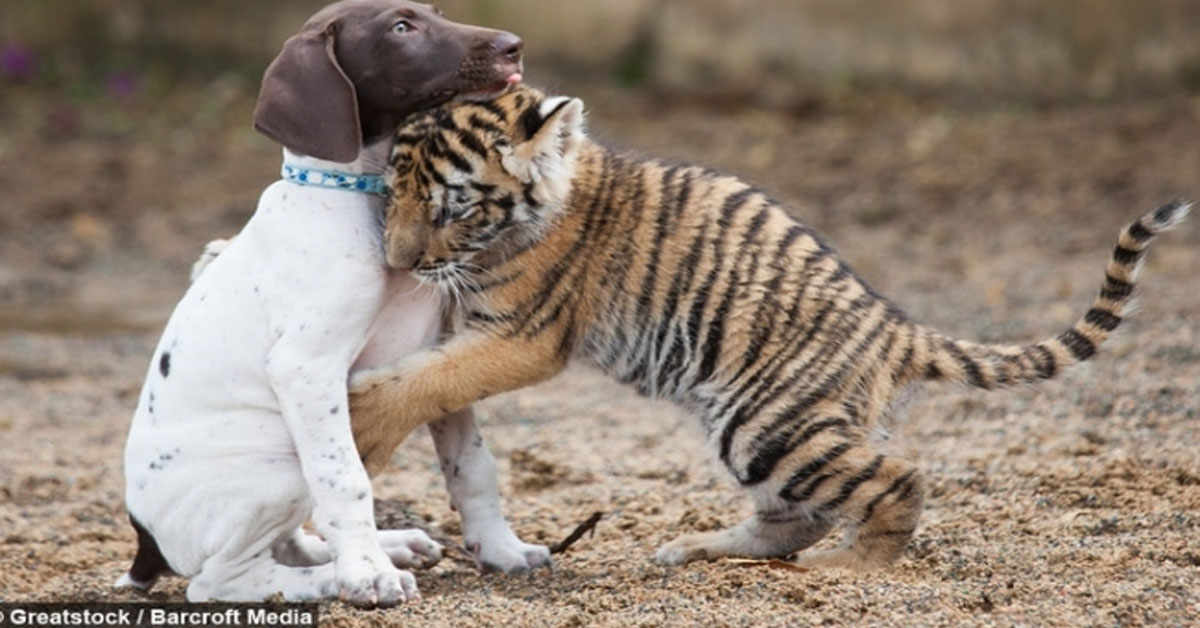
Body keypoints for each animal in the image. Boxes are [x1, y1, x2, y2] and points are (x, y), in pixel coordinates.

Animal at [117, 1, 549, 609]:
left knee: (290, 540)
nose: (514, 45)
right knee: (218, 580)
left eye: (437, 12)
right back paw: (334, 578)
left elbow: (472, 466)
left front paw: (502, 549)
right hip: (277, 466)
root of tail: (146, 540)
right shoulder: (306, 368)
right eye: (401, 28)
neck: (364, 200)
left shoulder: (438, 356)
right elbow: (345, 481)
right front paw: (368, 576)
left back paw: (388, 547)